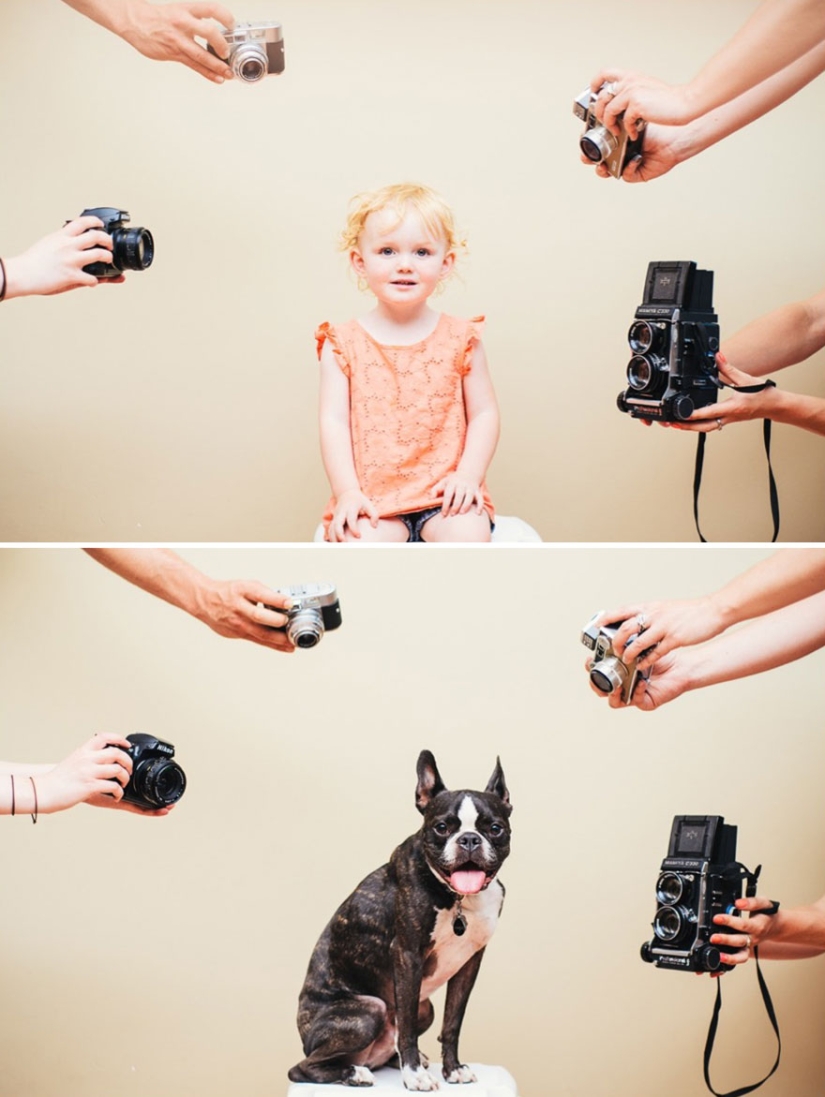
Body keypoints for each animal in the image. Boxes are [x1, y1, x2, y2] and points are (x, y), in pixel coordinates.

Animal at [287, 745, 509, 1088]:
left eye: (495, 828)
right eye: (442, 827)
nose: (470, 839)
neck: (459, 898)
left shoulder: (469, 963)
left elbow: (452, 1023)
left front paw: (452, 1069)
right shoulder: (407, 956)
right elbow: (406, 1029)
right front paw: (414, 1076)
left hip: (425, 1008)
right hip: (369, 1009)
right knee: (303, 1067)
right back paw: (354, 1073)